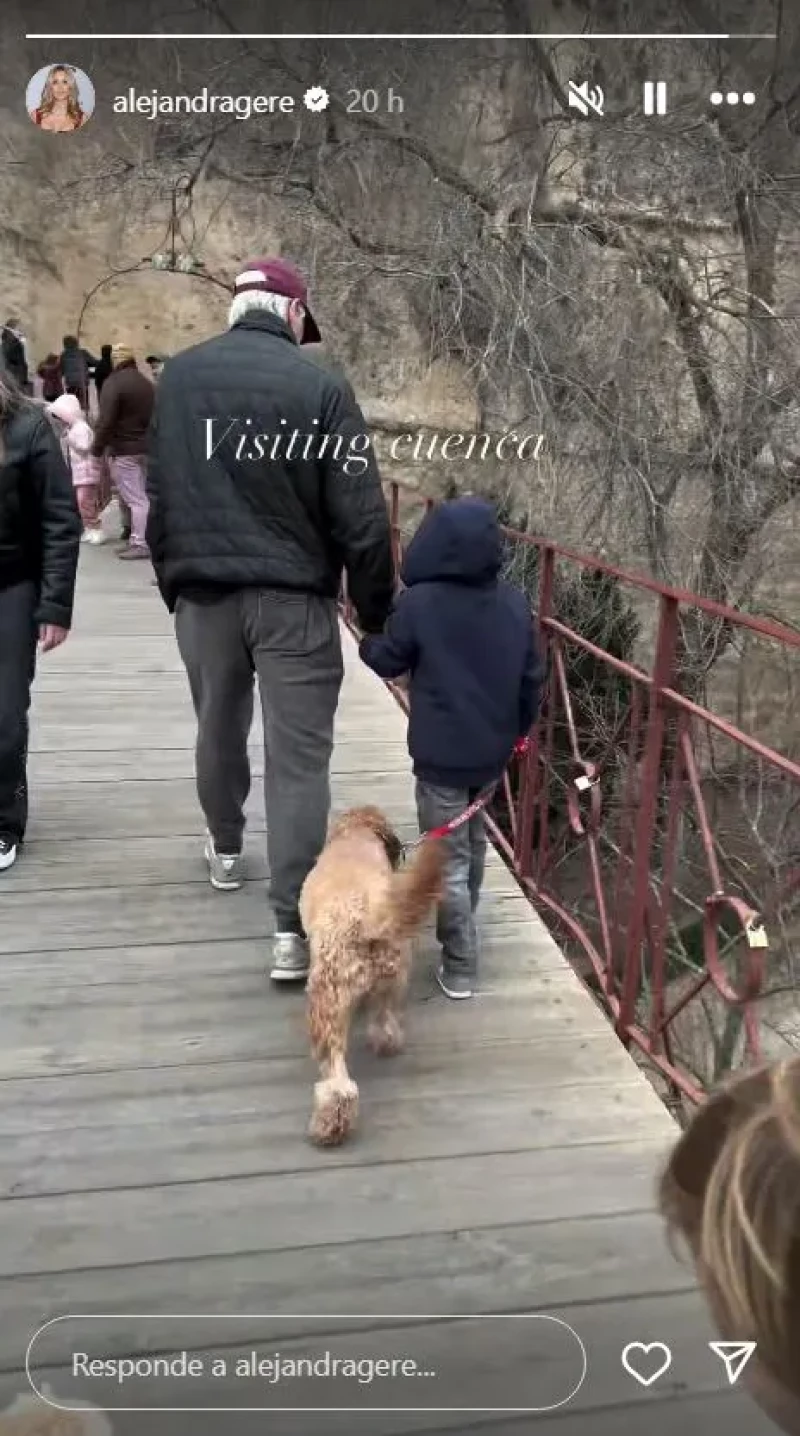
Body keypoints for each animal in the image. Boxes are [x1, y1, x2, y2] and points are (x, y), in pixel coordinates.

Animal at [301, 804, 442, 1148]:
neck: (357, 834)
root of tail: (369, 920)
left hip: (327, 999)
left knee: (338, 1083)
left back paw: (330, 1125)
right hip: (393, 979)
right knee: (386, 1024)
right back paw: (385, 1043)